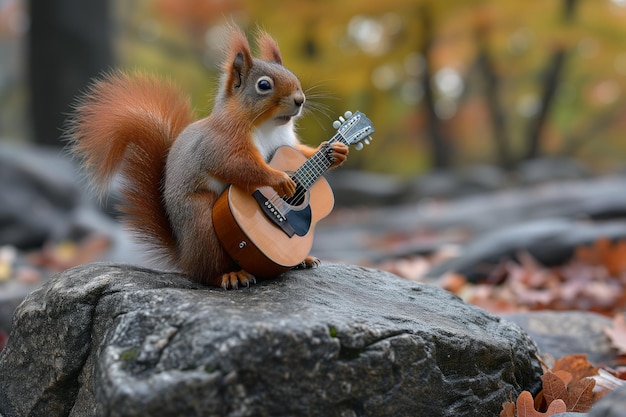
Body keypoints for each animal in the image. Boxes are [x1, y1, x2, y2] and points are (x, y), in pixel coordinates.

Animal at [70, 24, 348, 288]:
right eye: (264, 85)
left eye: (293, 75)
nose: (300, 100)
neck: (269, 126)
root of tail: (185, 256)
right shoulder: (222, 143)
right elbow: (239, 166)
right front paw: (280, 179)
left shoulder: (286, 142)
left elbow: (303, 153)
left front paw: (336, 150)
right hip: (201, 220)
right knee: (206, 271)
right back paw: (230, 275)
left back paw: (302, 260)